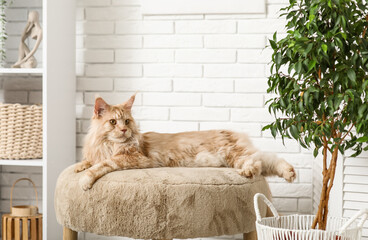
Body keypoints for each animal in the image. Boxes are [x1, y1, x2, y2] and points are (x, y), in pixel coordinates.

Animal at [75, 94, 296, 190]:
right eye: (113, 122)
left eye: (127, 121)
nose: (123, 130)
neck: (109, 145)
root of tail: (233, 132)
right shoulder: (98, 153)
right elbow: (89, 161)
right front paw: (79, 167)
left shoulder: (134, 158)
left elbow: (102, 165)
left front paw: (85, 180)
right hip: (237, 154)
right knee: (268, 159)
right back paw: (289, 172)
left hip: (233, 154)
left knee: (257, 162)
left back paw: (251, 172)